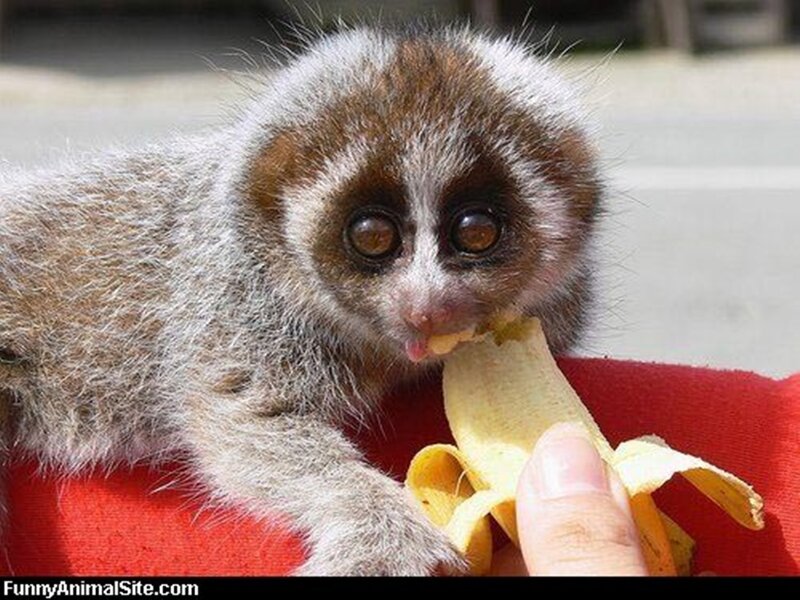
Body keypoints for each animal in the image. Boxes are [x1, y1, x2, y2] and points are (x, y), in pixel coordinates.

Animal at [0, 24, 602, 575]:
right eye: (372, 236)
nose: (427, 306)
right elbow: (244, 417)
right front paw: (382, 530)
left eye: (476, 232)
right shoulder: (239, 300)